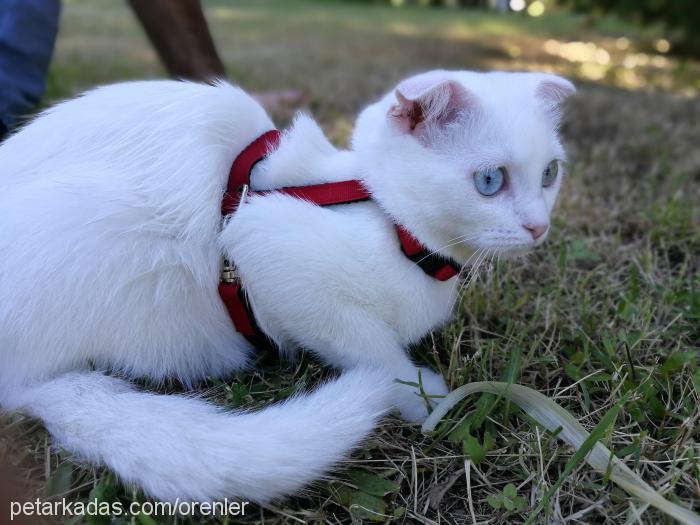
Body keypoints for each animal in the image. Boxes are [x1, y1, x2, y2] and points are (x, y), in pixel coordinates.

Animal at [0, 68, 576, 500]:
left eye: (549, 174)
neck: (388, 219)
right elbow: (372, 351)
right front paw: (422, 396)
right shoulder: (266, 249)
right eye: (489, 181)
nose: (538, 226)